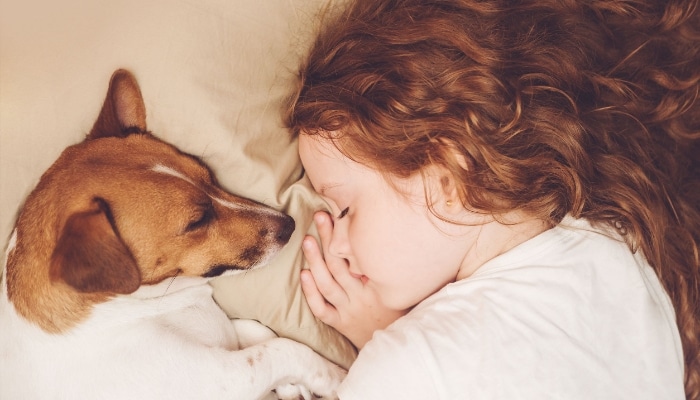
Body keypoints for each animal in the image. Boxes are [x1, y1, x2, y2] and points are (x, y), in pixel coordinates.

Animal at [0, 70, 344, 398]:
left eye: (210, 175)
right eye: (197, 221)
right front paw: (337, 378)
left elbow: (260, 332)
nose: (290, 224)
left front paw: (292, 387)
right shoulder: (221, 378)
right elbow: (282, 349)